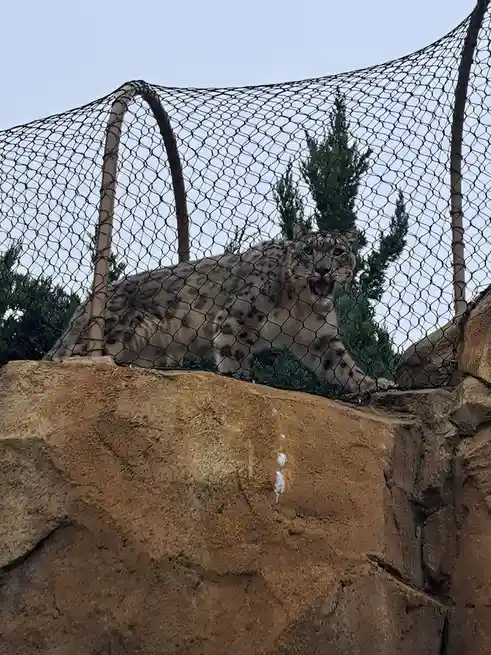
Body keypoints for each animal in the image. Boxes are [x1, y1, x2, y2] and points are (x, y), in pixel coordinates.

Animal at [43, 227, 396, 395]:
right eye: (308, 250)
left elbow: (341, 365)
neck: (301, 303)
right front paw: (240, 379)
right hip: (112, 333)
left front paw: (373, 383)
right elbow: (233, 351)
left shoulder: (318, 336)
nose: (322, 270)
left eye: (338, 251)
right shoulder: (239, 316)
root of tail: (87, 302)